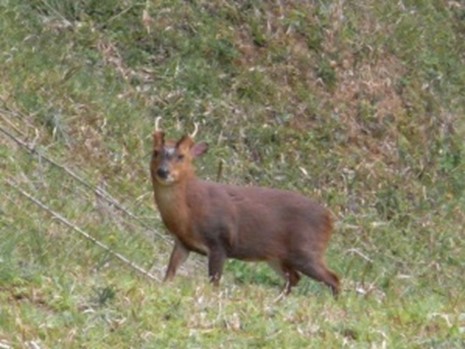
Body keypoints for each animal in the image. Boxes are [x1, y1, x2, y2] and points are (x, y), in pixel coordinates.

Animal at [150, 118, 338, 294]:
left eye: (181, 156)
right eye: (155, 152)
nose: (163, 171)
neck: (190, 212)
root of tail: (330, 218)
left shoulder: (220, 242)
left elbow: (214, 283)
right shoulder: (183, 242)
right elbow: (169, 273)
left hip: (307, 250)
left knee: (333, 279)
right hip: (277, 256)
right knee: (294, 278)